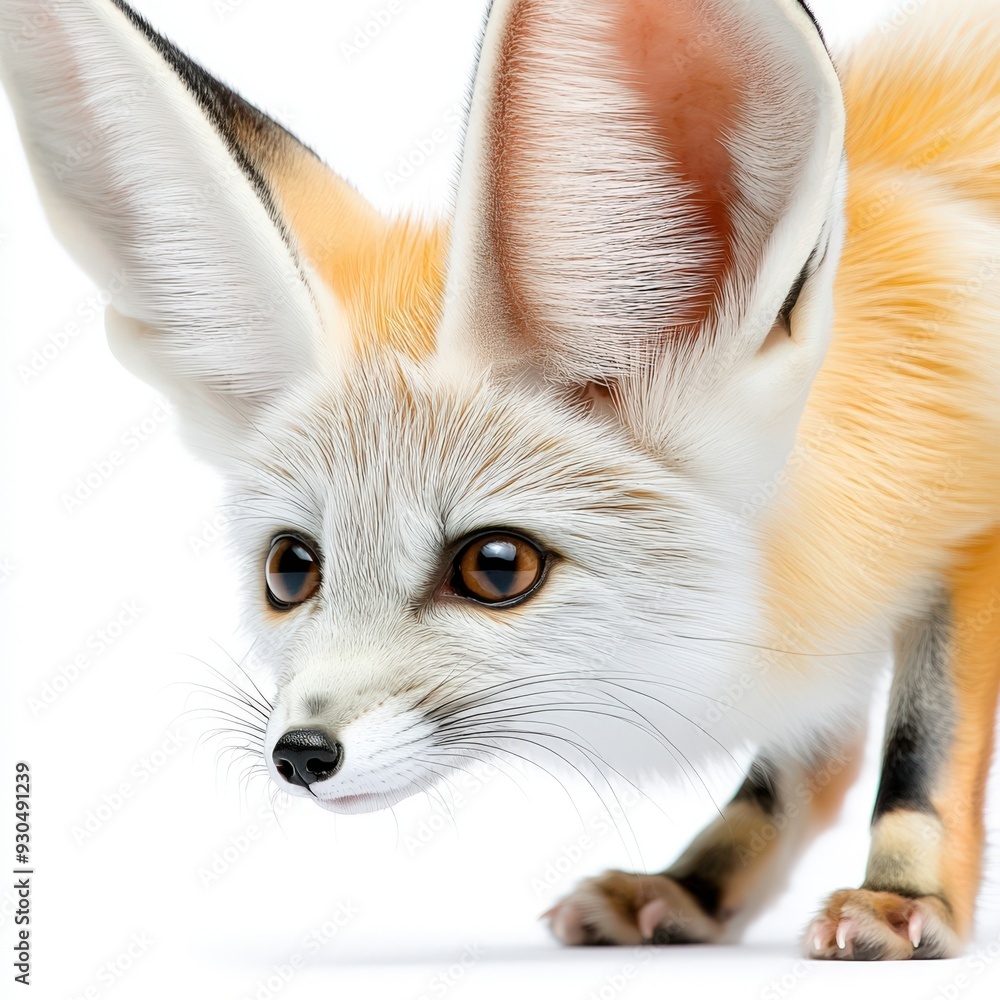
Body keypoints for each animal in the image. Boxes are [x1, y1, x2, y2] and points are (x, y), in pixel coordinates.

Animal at [3, 0, 1000, 962]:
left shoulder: (962, 543)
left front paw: (905, 897)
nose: (302, 754)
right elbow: (798, 771)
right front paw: (697, 888)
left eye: (496, 568)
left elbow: (922, 747)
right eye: (290, 569)